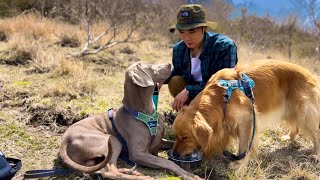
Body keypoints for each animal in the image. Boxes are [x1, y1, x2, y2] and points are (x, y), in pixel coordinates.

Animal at [57, 61, 198, 179]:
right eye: (150, 65)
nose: (169, 64)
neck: (145, 112)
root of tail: (64, 142)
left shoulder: (159, 142)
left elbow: (172, 144)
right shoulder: (138, 153)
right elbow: (168, 162)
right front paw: (189, 175)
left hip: (92, 160)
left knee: (101, 169)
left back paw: (132, 172)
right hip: (112, 141)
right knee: (109, 171)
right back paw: (143, 177)